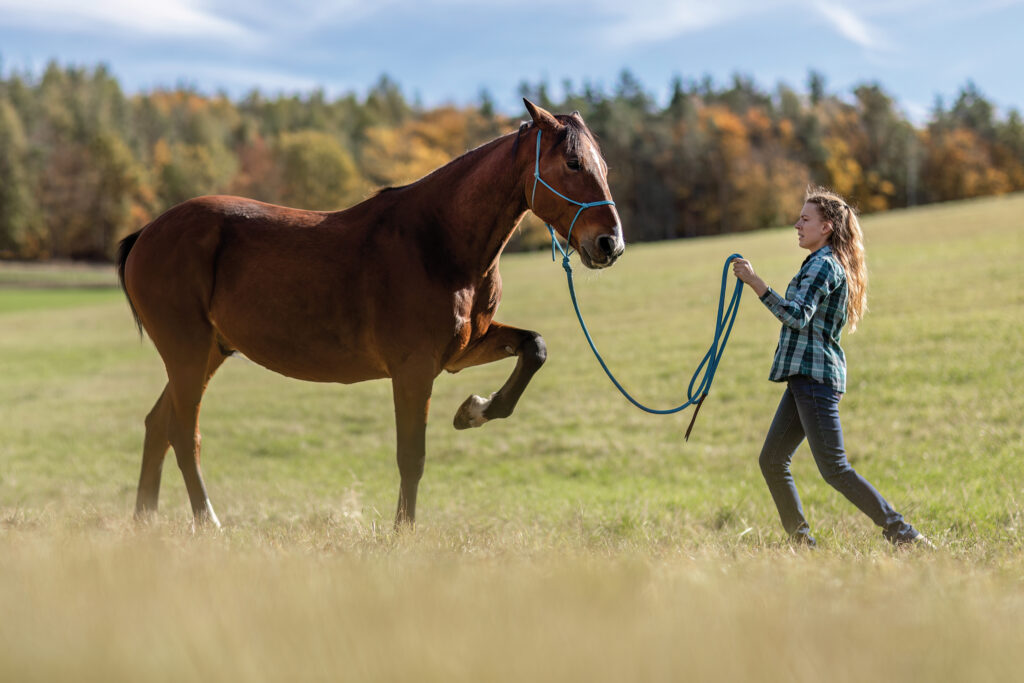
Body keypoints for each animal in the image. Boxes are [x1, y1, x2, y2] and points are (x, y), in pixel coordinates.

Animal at [115, 100, 618, 528]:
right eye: (572, 163)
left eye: (604, 165)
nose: (609, 243)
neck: (438, 241)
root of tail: (147, 234)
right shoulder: (414, 369)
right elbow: (411, 456)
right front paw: (403, 533)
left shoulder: (461, 352)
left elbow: (534, 348)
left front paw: (474, 410)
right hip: (188, 352)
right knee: (183, 434)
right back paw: (208, 523)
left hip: (209, 353)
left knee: (158, 425)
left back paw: (145, 522)